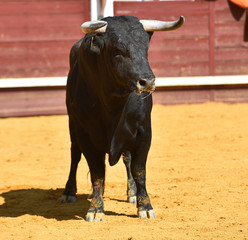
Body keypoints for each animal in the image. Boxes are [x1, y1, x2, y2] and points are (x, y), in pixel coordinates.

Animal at [60, 15, 183, 221]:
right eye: (117, 51)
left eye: (145, 48)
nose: (147, 82)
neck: (113, 102)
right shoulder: (86, 135)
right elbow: (97, 173)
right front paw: (95, 209)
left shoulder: (143, 132)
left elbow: (139, 170)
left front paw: (145, 206)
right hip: (72, 125)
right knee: (75, 154)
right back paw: (70, 192)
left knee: (127, 159)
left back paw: (131, 192)